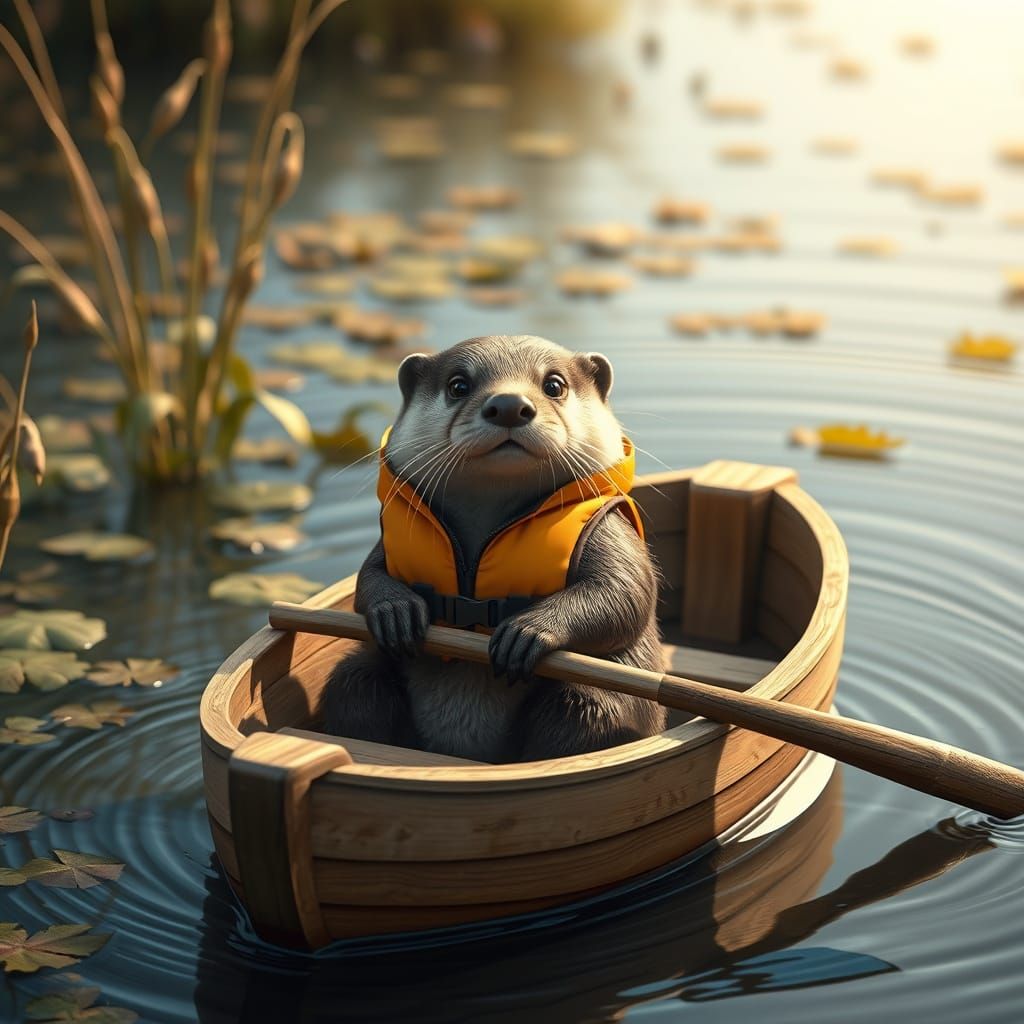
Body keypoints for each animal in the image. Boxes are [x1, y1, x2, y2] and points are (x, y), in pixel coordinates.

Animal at [322, 335, 665, 762]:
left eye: (554, 384)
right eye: (458, 385)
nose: (508, 405)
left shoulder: (609, 532)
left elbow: (624, 592)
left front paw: (528, 632)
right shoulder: (386, 542)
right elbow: (366, 579)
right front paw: (395, 610)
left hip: (594, 706)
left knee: (584, 710)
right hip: (358, 680)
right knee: (354, 687)